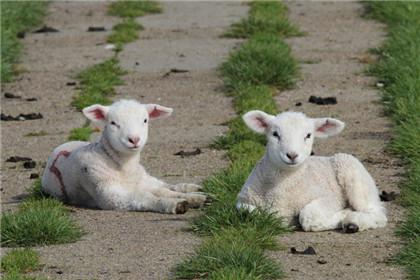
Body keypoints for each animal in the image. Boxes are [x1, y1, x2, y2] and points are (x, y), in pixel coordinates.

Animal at [42, 99, 207, 213]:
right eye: (113, 123)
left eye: (145, 120)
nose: (134, 139)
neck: (123, 166)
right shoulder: (109, 194)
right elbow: (144, 197)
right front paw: (175, 204)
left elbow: (163, 190)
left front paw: (195, 197)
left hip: (144, 177)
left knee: (165, 186)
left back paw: (196, 191)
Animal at [236, 110, 388, 233]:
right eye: (275, 134)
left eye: (308, 135)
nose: (292, 155)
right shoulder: (242, 200)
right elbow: (249, 212)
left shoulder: (331, 198)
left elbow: (309, 217)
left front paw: (344, 214)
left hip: (353, 173)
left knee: (378, 214)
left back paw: (353, 222)